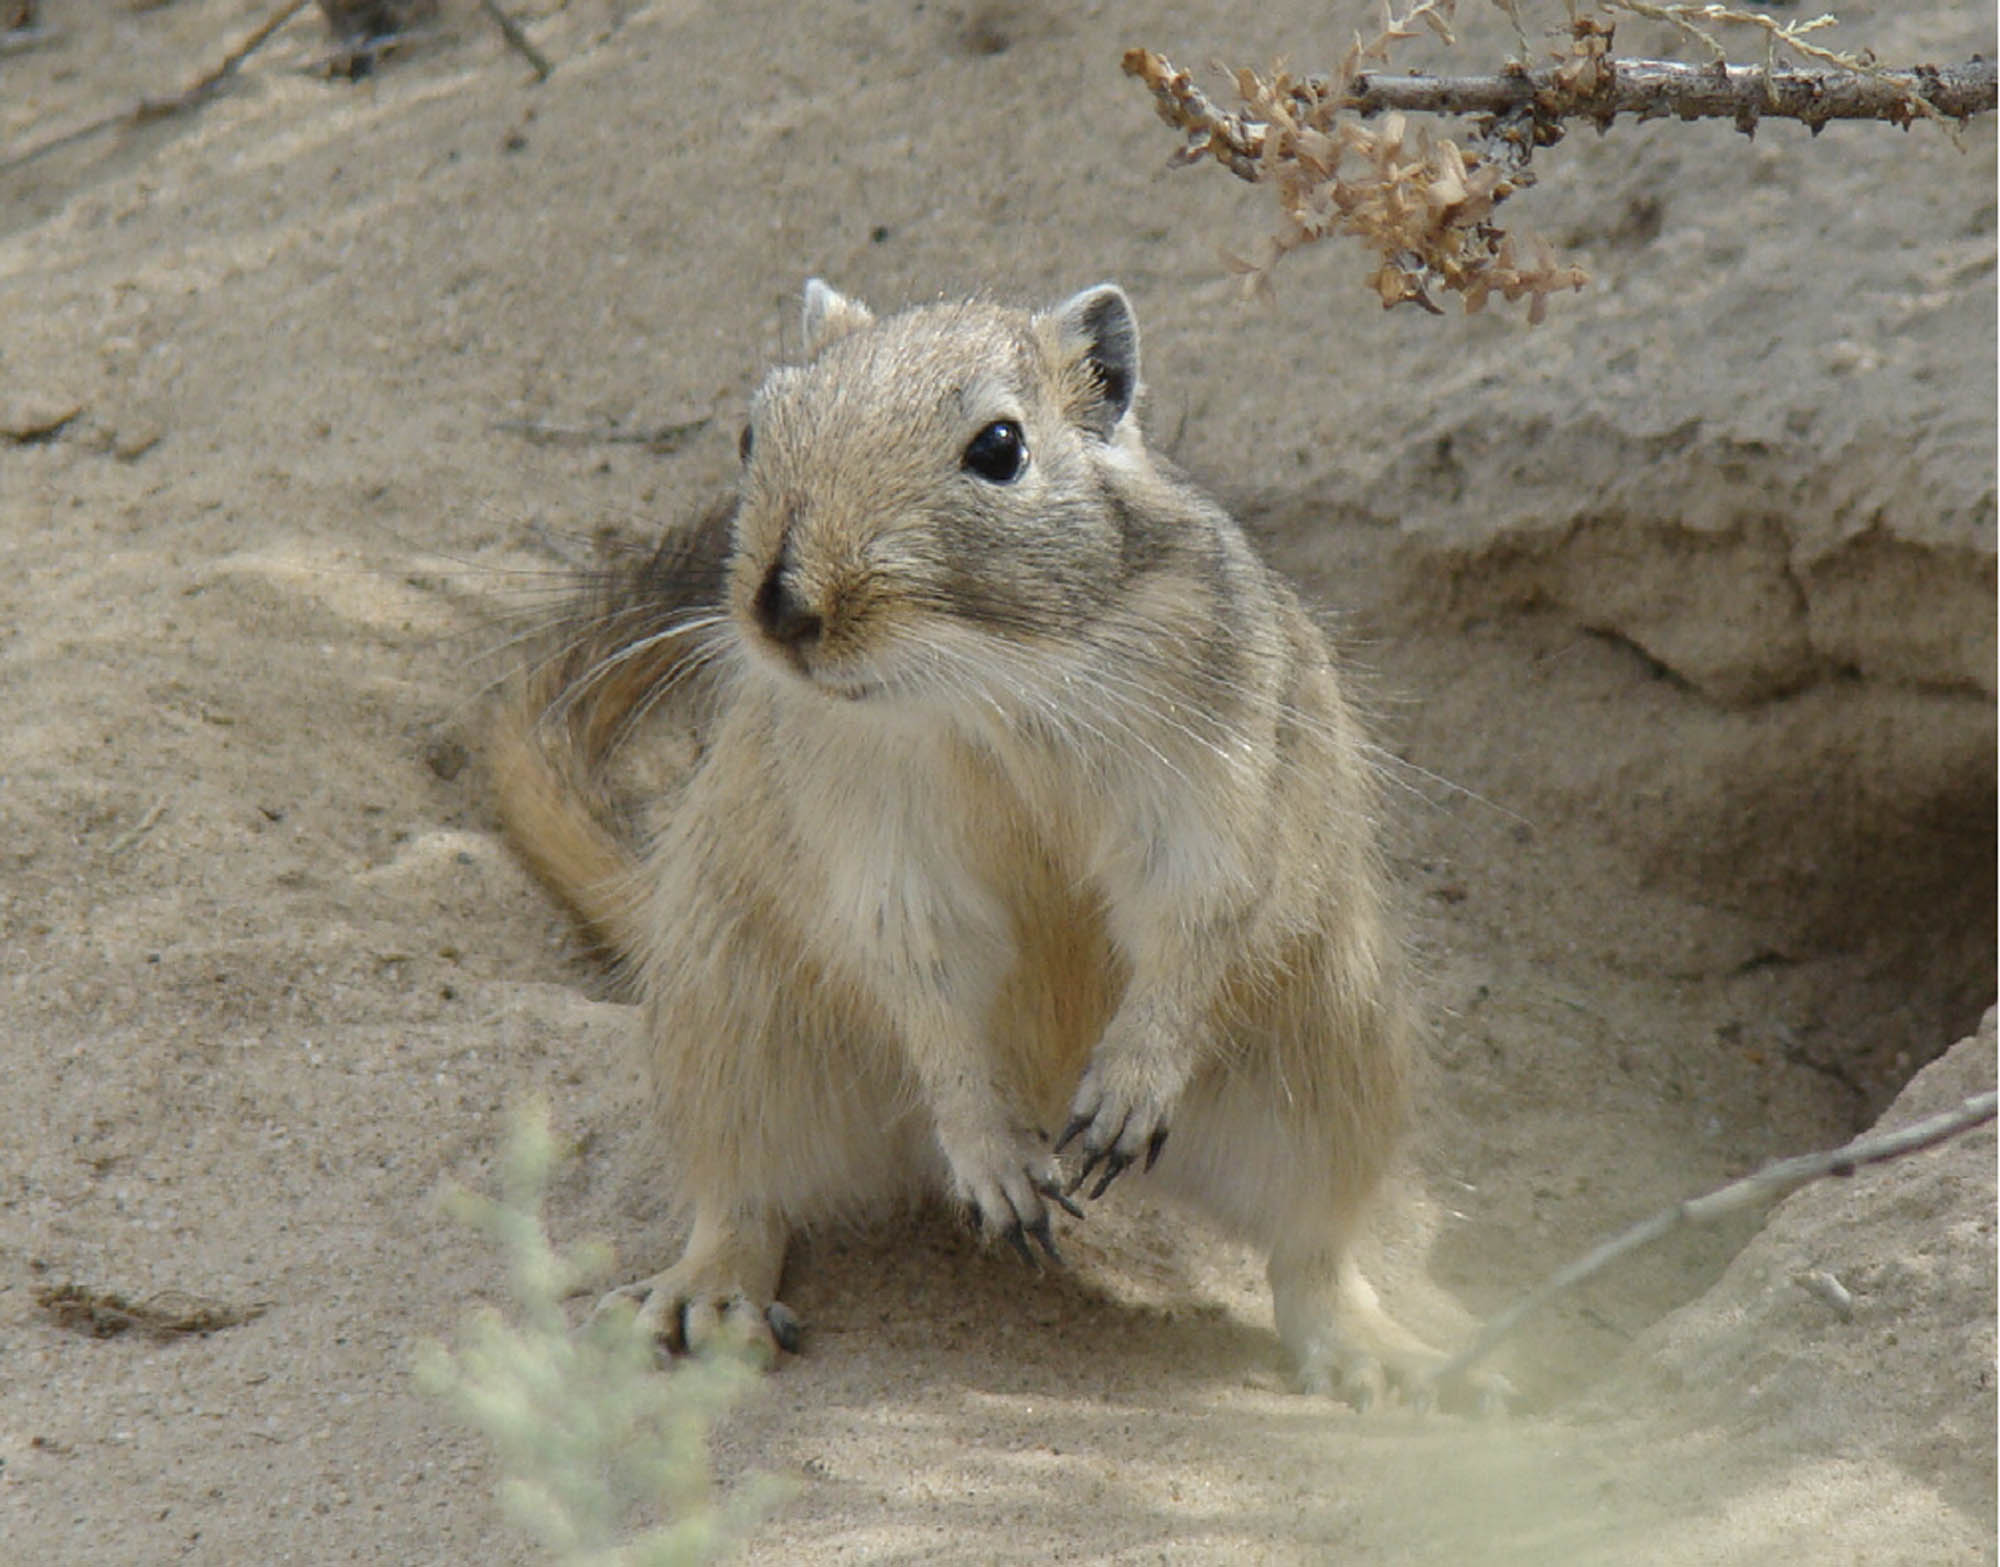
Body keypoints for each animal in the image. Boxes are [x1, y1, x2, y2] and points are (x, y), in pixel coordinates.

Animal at [490, 280, 1473, 1406]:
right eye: (751, 433)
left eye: (1000, 448)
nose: (780, 608)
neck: (989, 684)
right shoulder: (886, 867)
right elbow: (932, 998)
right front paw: (1003, 1173)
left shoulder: (1208, 814)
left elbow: (1187, 936)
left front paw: (1118, 1105)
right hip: (736, 1039)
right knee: (740, 1203)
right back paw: (705, 1304)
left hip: (1326, 1070)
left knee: (1313, 1255)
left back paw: (1383, 1358)